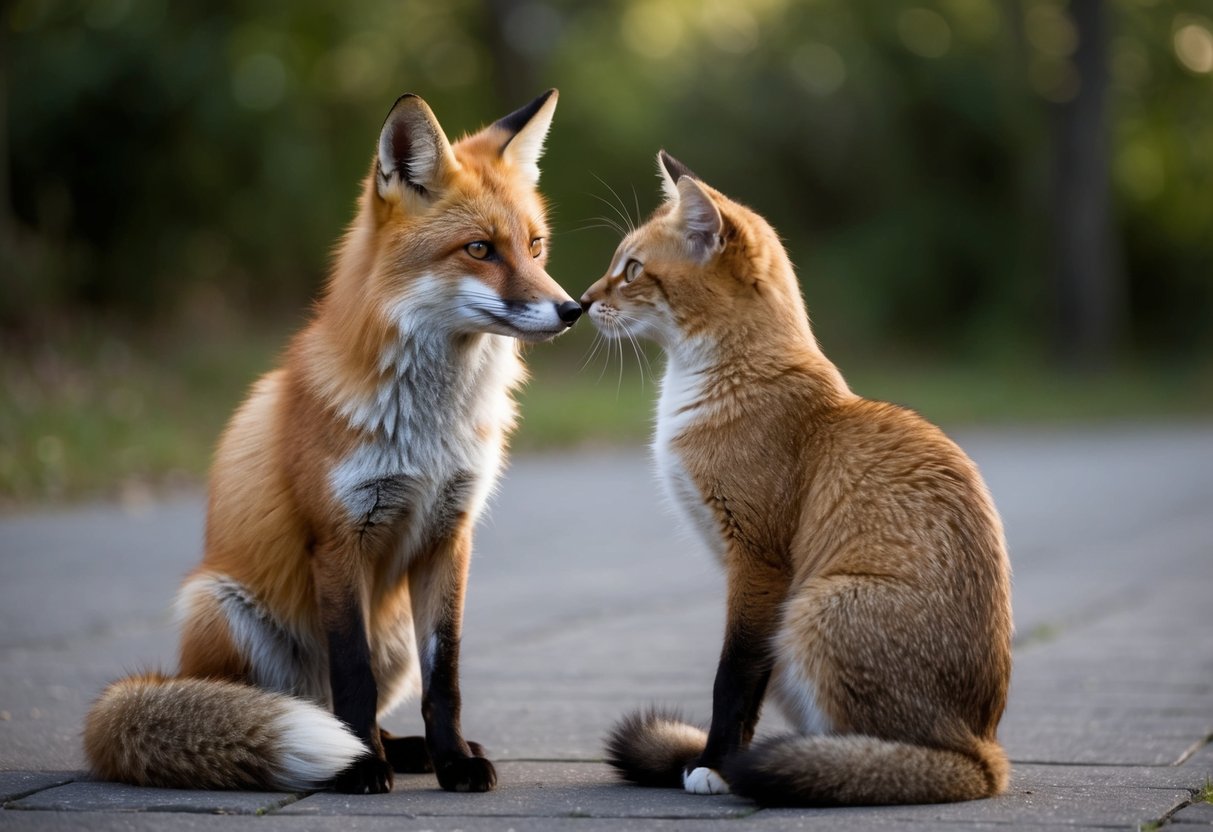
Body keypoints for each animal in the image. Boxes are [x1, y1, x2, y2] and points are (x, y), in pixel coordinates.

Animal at [82, 90, 582, 795]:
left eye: (535, 247)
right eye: (480, 249)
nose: (573, 308)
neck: (427, 430)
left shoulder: (449, 537)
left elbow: (446, 680)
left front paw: (454, 760)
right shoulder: (340, 539)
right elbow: (353, 676)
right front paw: (361, 769)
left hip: (395, 635)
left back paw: (409, 751)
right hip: (221, 608)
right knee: (302, 704)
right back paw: (349, 751)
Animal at [579, 151, 1012, 806]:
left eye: (630, 270)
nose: (579, 302)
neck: (725, 381)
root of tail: (985, 753)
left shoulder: (758, 561)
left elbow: (730, 680)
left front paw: (715, 767)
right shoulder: (752, 579)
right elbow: (745, 692)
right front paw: (718, 764)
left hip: (815, 610)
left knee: (882, 758)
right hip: (796, 634)